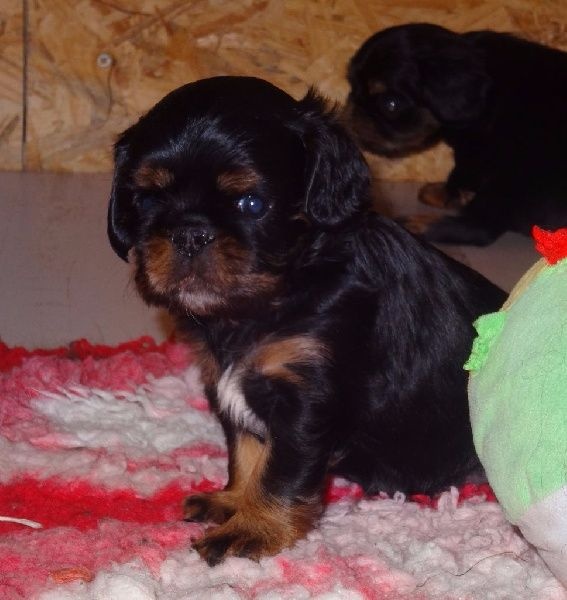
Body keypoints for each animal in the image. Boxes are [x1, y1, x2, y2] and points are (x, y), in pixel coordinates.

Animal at [107, 76, 506, 565]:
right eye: (146, 198)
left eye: (251, 203)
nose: (188, 234)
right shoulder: (231, 384)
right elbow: (247, 452)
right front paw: (234, 502)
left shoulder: (305, 400)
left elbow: (279, 470)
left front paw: (253, 529)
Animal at [346, 23, 567, 245]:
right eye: (353, 87)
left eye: (390, 104)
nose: (353, 109)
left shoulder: (475, 150)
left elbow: (461, 173)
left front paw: (448, 193)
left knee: (480, 228)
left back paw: (417, 224)